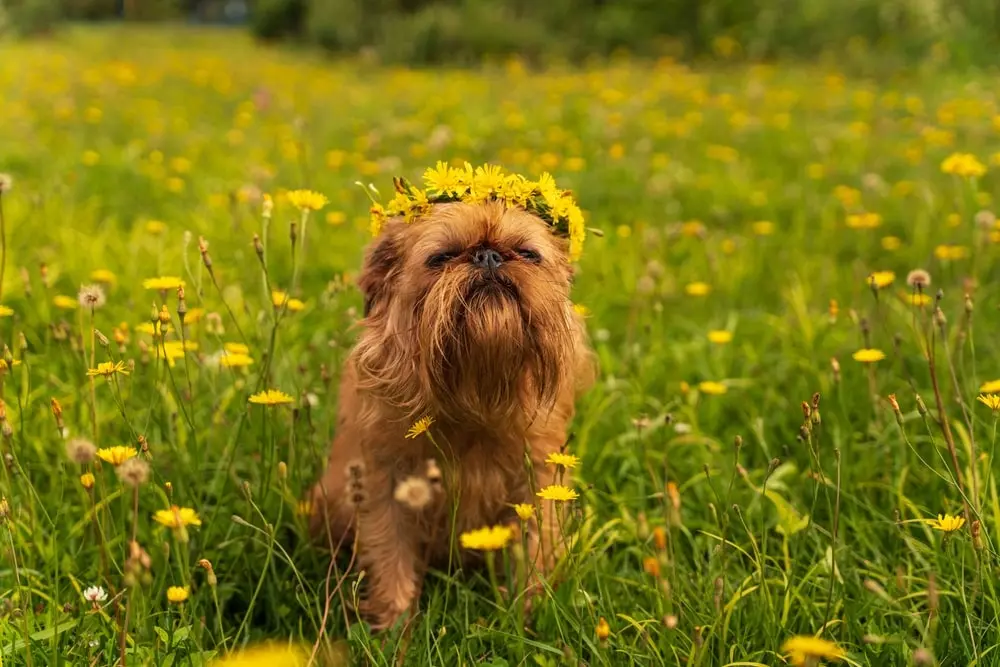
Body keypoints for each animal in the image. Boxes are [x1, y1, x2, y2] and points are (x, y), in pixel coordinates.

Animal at [308, 200, 592, 632]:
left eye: (528, 254)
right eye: (441, 258)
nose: (488, 256)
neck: (474, 389)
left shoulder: (538, 483)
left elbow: (535, 549)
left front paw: (527, 617)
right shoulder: (385, 485)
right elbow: (391, 558)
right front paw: (395, 631)